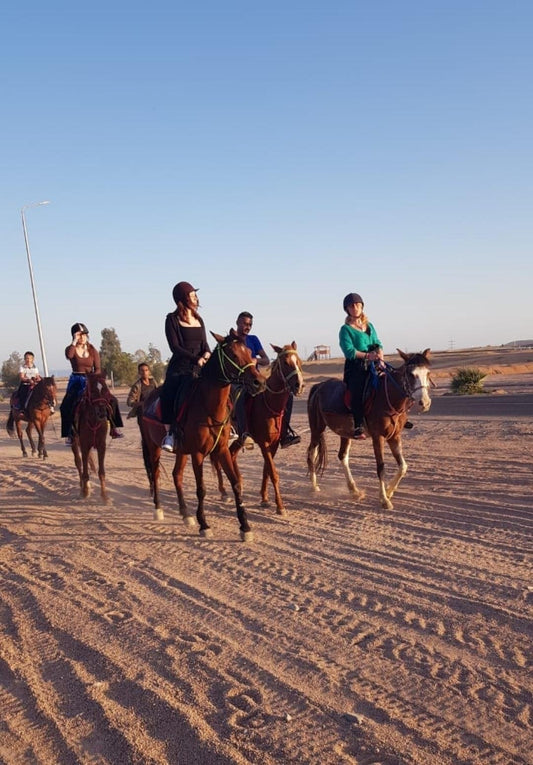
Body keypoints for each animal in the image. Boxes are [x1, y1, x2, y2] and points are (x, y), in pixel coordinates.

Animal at [70, 370, 111, 502]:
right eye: (92, 391)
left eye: (105, 390)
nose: (102, 413)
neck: (93, 420)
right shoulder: (84, 445)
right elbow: (84, 470)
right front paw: (85, 491)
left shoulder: (101, 445)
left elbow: (101, 471)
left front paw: (104, 496)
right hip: (74, 442)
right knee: (78, 463)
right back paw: (82, 487)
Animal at [139, 332, 266, 540]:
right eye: (232, 353)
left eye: (248, 351)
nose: (259, 382)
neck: (208, 406)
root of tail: (145, 402)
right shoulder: (197, 454)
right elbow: (201, 489)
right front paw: (204, 525)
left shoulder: (222, 450)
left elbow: (236, 483)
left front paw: (245, 527)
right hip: (153, 447)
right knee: (155, 474)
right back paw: (158, 509)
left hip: (181, 452)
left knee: (176, 475)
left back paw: (185, 513)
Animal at [220, 344, 304, 512]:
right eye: (285, 363)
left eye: (299, 361)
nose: (299, 385)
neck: (269, 404)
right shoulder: (264, 444)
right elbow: (273, 473)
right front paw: (280, 506)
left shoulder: (274, 444)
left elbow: (267, 470)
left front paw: (264, 498)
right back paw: (224, 492)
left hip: (239, 438)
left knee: (231, 454)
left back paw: (238, 484)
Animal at [306, 350, 430, 508]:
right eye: (411, 374)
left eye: (427, 373)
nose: (424, 403)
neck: (388, 399)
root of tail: (318, 387)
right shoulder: (378, 437)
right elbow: (381, 467)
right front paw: (384, 499)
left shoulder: (394, 436)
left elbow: (403, 466)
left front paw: (389, 491)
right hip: (317, 429)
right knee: (311, 453)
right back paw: (314, 486)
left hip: (345, 433)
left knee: (342, 456)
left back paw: (354, 490)